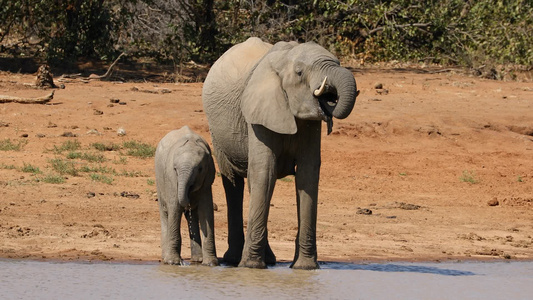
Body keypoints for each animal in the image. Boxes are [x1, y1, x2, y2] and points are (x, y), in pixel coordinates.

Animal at [154, 125, 218, 266]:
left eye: (200, 169)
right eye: (175, 169)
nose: (188, 196)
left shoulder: (207, 179)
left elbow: (206, 212)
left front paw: (211, 263)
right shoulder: (171, 179)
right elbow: (175, 209)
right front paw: (173, 262)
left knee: (192, 216)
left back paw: (197, 259)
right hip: (159, 178)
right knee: (165, 212)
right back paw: (165, 258)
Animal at [202, 37, 360, 270]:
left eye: (338, 62)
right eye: (300, 72)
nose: (330, 97)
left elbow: (307, 174)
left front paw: (305, 267)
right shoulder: (259, 112)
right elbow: (265, 171)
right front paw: (251, 267)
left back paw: (268, 260)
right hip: (217, 132)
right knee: (234, 182)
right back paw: (235, 260)